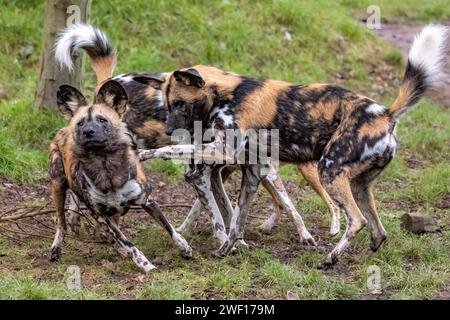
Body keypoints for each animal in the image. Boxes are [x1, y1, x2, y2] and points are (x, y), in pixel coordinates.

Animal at [48, 77, 192, 272]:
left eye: (102, 120)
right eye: (80, 123)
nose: (88, 132)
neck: (105, 164)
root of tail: (64, 128)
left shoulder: (147, 201)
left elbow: (169, 227)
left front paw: (184, 247)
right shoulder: (104, 214)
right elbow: (129, 244)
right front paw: (146, 265)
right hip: (58, 186)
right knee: (61, 223)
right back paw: (57, 247)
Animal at [152, 25, 450, 266]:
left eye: (179, 103)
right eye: (167, 105)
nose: (168, 130)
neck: (227, 94)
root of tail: (385, 114)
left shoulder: (224, 151)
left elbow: (170, 151)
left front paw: (148, 153)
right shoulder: (254, 171)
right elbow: (236, 222)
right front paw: (226, 250)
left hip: (328, 170)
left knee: (357, 220)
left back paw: (329, 259)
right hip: (358, 184)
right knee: (378, 231)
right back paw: (359, 258)